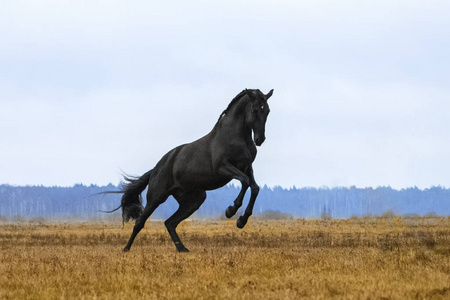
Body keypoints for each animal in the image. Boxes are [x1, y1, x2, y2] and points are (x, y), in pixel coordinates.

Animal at [107, 88, 272, 252]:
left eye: (267, 111)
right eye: (255, 109)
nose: (260, 139)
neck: (234, 136)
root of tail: (156, 169)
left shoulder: (247, 167)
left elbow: (254, 188)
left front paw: (242, 220)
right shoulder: (223, 167)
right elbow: (245, 182)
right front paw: (231, 211)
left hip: (194, 200)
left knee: (170, 223)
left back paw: (182, 249)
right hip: (156, 198)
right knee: (140, 222)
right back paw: (126, 249)